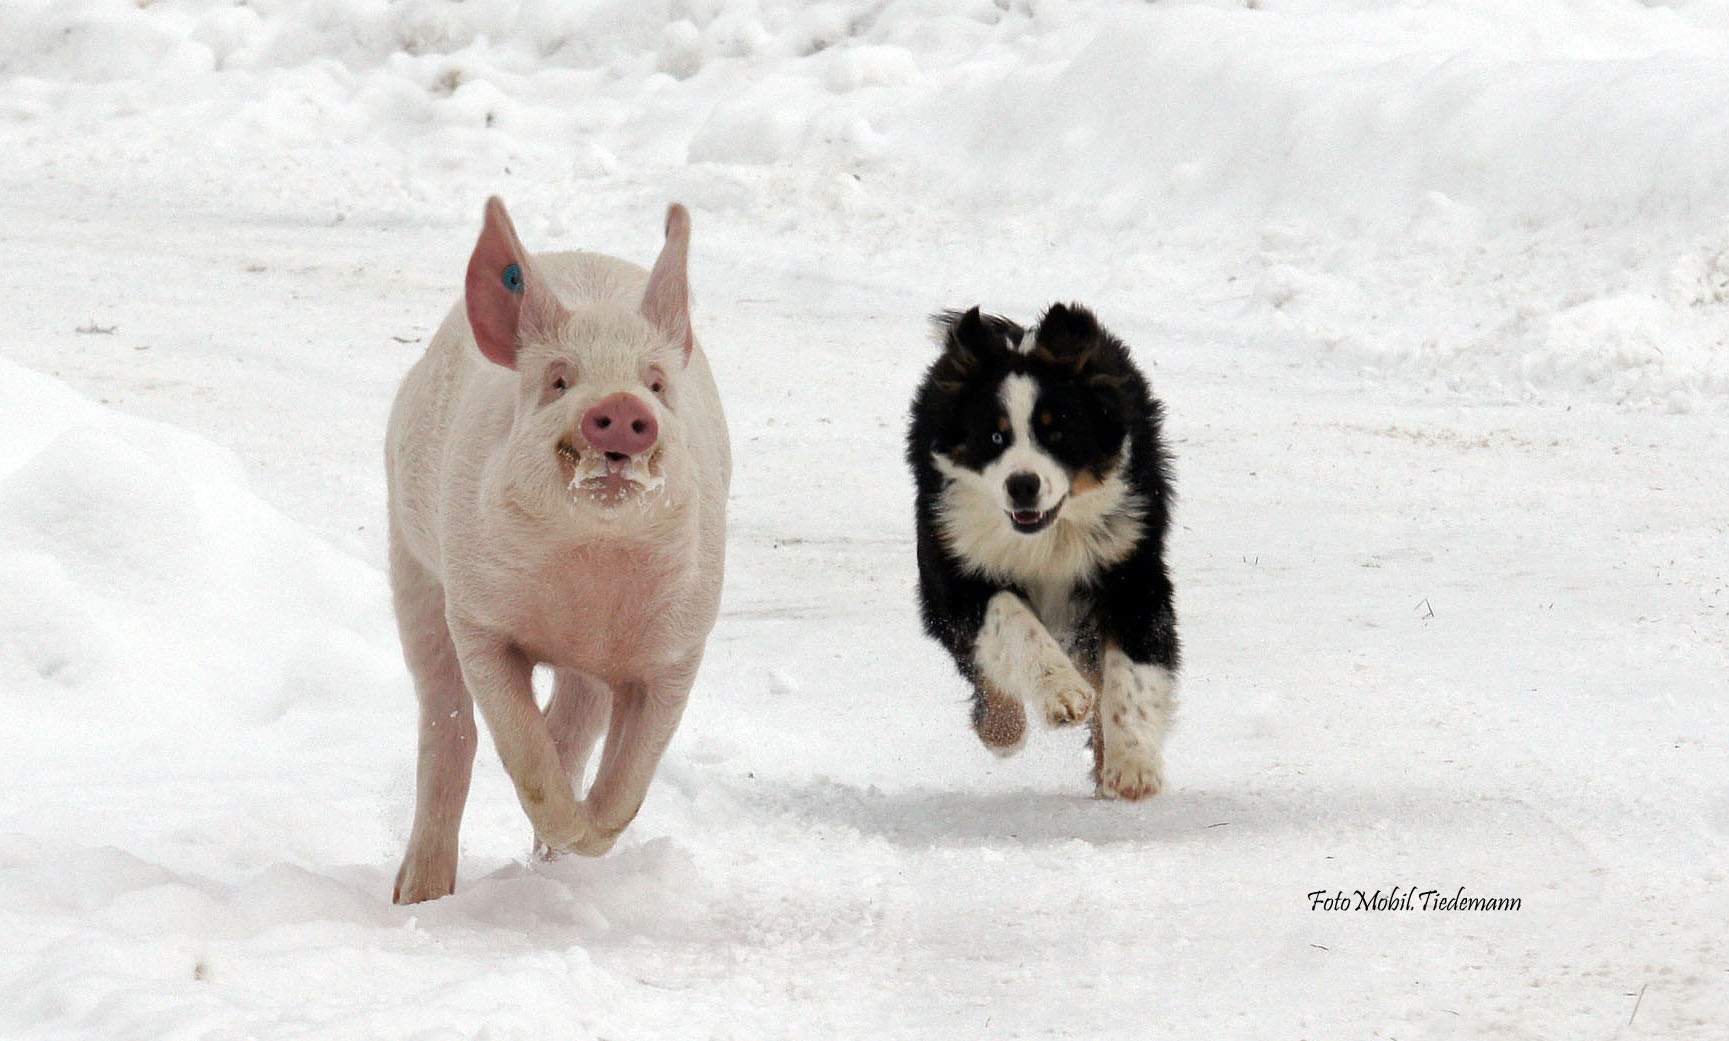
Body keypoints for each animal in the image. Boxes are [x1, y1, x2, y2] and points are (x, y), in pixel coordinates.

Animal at [385, 194, 729, 899]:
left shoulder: (679, 645)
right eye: (559, 380)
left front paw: (587, 839)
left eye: (656, 384)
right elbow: (522, 745)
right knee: (446, 724)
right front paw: (569, 830)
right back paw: (417, 895)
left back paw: (551, 862)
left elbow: (630, 778)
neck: (590, 571)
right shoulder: (478, 615)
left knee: (571, 724)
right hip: (412, 568)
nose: (621, 405)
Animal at [905, 304, 1175, 798]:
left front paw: (1132, 766)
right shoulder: (959, 567)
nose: (1023, 485)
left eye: (1058, 433)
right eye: (994, 437)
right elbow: (1014, 624)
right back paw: (1002, 730)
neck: (1047, 539)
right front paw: (1062, 696)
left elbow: (1132, 670)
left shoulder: (1130, 568)